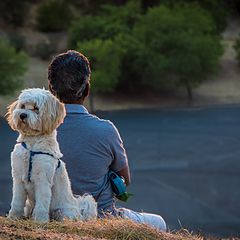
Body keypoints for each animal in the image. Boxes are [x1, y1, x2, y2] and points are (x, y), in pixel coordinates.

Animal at [6, 88, 97, 223]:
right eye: (22, 106)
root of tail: (77, 207)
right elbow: (17, 201)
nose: (22, 115)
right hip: (28, 206)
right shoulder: (18, 178)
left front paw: (40, 220)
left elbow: (42, 203)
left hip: (62, 211)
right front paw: (13, 217)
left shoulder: (43, 179)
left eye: (36, 108)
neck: (32, 146)